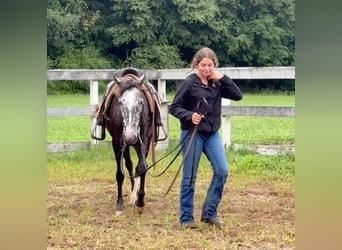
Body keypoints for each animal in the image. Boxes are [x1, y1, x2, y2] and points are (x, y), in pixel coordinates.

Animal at [105, 68, 155, 215]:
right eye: (121, 102)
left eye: (140, 102)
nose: (130, 136)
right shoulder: (117, 143)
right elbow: (120, 173)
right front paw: (119, 204)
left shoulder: (144, 140)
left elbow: (142, 168)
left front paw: (140, 200)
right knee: (129, 164)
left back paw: (135, 195)